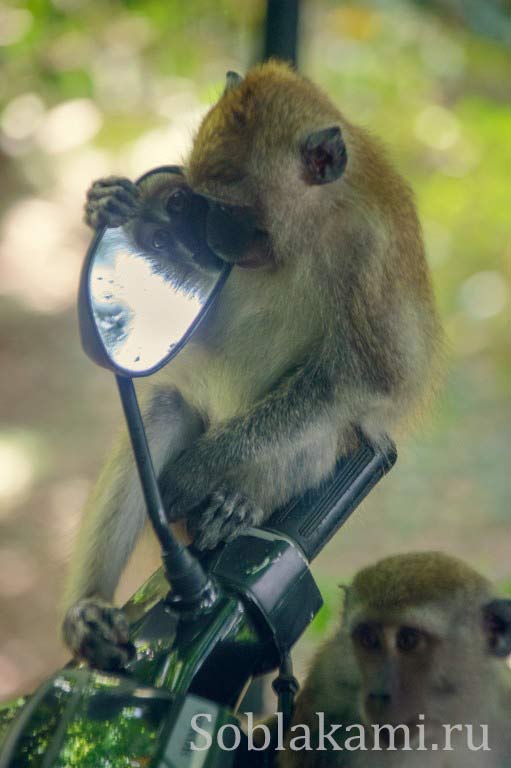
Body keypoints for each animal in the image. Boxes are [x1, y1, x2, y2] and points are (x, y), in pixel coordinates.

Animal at [64, 63, 442, 668]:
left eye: (231, 210)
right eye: (194, 202)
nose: (206, 238)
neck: (316, 224)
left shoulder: (371, 255)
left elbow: (368, 379)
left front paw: (196, 473)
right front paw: (111, 206)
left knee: (320, 429)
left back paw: (239, 503)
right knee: (166, 408)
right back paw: (89, 612)